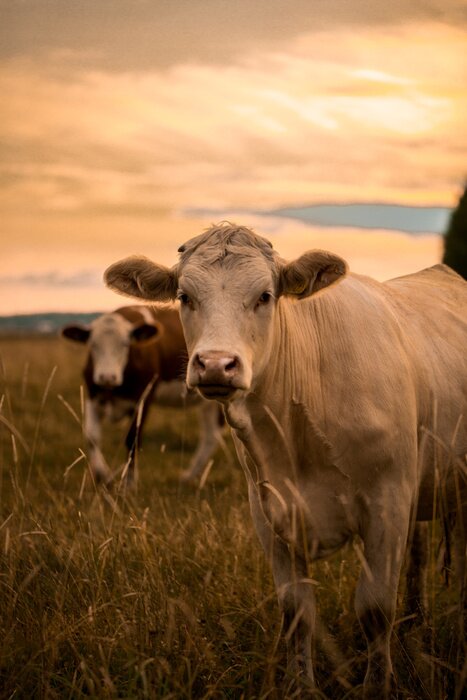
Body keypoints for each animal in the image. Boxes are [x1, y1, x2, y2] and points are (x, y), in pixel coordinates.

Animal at [62, 305, 225, 487]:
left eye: (125, 344)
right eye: (93, 344)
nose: (107, 377)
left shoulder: (144, 399)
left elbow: (132, 439)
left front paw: (129, 483)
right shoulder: (92, 396)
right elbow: (92, 436)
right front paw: (102, 476)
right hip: (207, 404)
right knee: (210, 435)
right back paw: (188, 476)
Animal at [103, 223, 467, 697]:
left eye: (264, 296)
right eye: (184, 296)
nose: (216, 365)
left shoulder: (387, 502)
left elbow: (374, 608)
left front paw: (376, 685)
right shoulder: (270, 511)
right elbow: (297, 612)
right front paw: (301, 685)